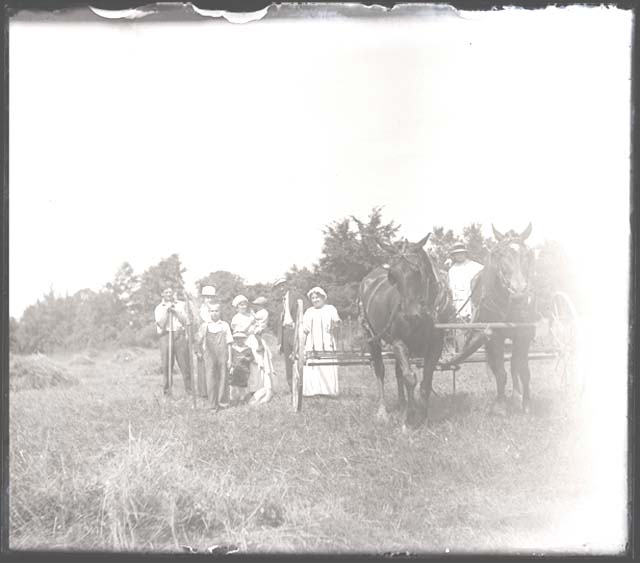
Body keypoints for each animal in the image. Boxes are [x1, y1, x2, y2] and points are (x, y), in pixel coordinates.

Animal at [357, 235, 449, 428]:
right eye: (393, 275)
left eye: (417, 271)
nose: (410, 313)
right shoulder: (398, 343)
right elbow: (410, 378)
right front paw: (409, 419)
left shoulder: (436, 345)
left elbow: (426, 381)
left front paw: (423, 417)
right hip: (373, 338)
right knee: (381, 371)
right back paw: (383, 411)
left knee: (398, 372)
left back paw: (402, 404)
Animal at [444, 223, 536, 414]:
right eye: (499, 254)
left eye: (528, 254)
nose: (518, 294)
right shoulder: (494, 337)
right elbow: (500, 372)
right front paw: (500, 405)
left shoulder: (524, 334)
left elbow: (523, 370)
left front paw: (525, 404)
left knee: (514, 365)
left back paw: (516, 396)